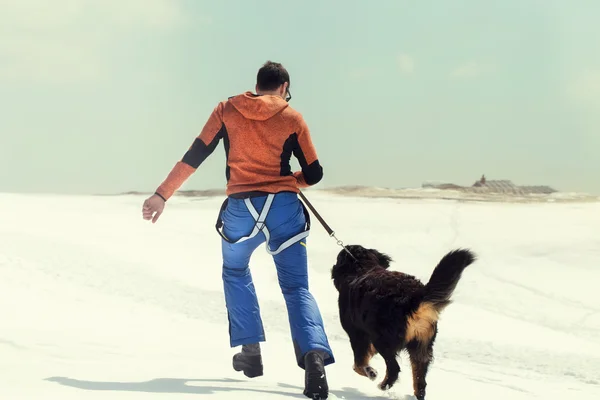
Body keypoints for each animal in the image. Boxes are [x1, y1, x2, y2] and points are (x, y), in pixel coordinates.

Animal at [330, 244, 476, 400]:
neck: (362, 268)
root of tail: (413, 297)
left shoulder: (357, 333)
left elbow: (359, 364)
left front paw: (370, 372)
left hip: (382, 340)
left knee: (394, 368)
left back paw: (383, 385)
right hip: (421, 346)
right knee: (420, 383)